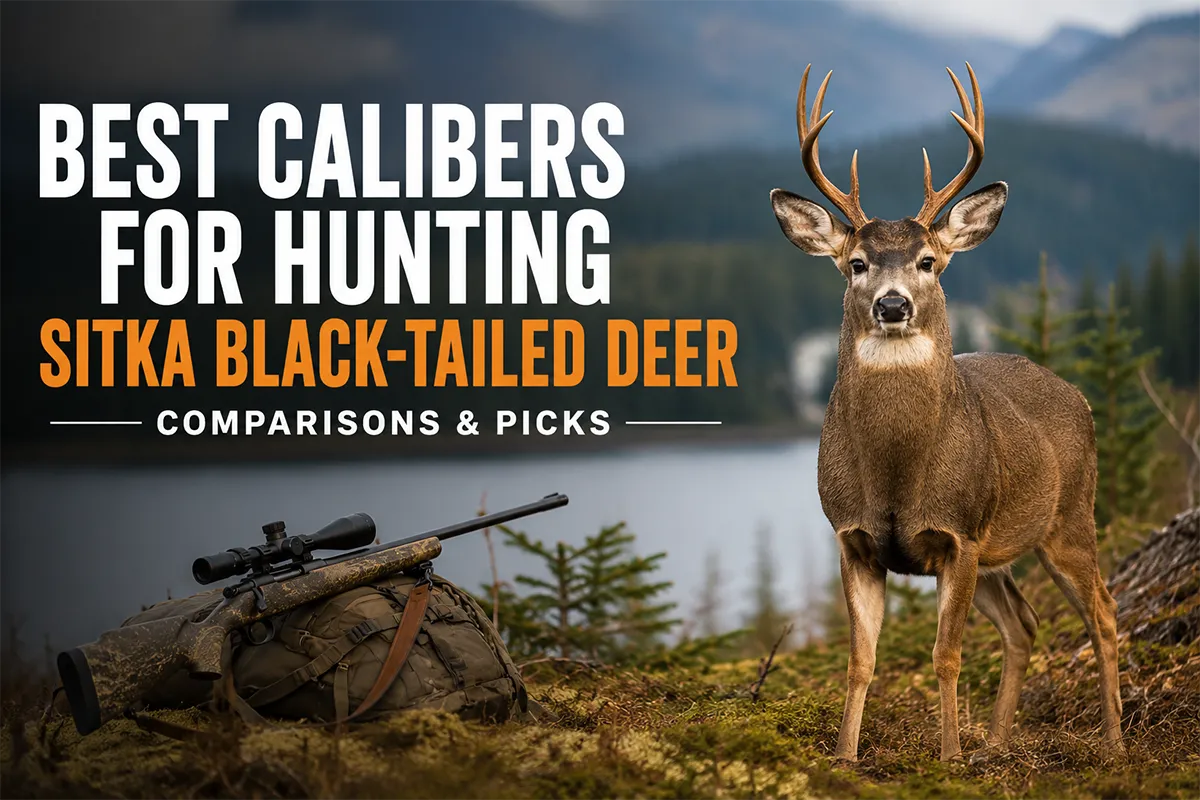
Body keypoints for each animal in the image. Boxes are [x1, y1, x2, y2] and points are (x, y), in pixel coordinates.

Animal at [769, 64, 1123, 763]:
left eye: (927, 261)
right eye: (856, 263)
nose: (893, 304)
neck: (898, 474)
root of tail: (1076, 394)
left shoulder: (959, 533)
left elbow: (946, 655)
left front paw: (949, 756)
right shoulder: (852, 537)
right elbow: (860, 660)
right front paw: (846, 756)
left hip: (1068, 517)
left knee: (1102, 610)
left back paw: (1115, 743)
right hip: (997, 553)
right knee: (1023, 622)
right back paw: (998, 741)